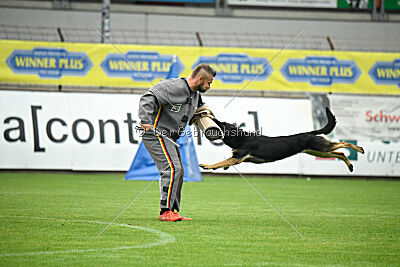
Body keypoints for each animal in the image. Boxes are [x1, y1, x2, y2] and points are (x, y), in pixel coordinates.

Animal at [198, 108, 364, 173]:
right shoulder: (238, 158)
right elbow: (223, 163)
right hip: (318, 151)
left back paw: (359, 149)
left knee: (344, 144)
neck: (241, 137)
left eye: (222, 123)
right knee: (340, 153)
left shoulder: (238, 158)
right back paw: (350, 166)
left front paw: (207, 166)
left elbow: (219, 162)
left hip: (321, 149)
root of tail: (310, 132)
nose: (211, 116)